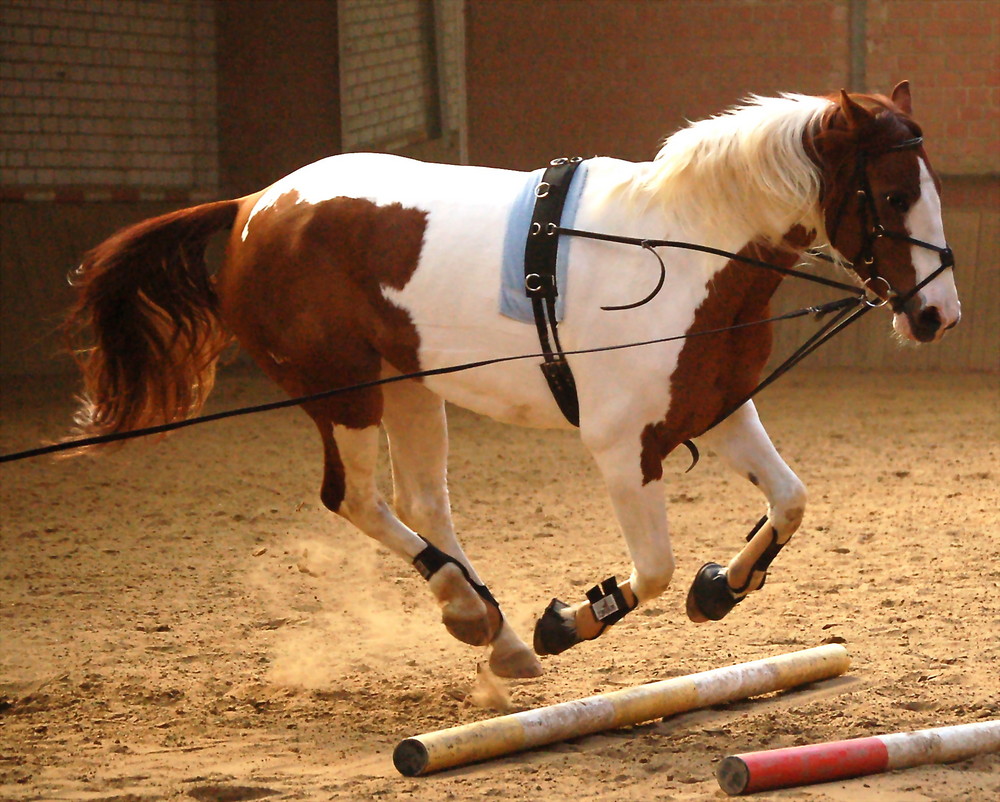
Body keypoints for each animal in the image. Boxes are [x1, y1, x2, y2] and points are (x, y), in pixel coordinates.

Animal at [64, 84, 960, 680]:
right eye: (891, 196)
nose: (937, 315)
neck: (680, 252)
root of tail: (256, 204)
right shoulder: (622, 448)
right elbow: (654, 568)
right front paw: (570, 620)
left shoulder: (718, 410)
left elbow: (791, 501)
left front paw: (721, 589)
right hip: (343, 391)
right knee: (356, 499)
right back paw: (473, 612)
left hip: (409, 385)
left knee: (423, 502)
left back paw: (493, 631)